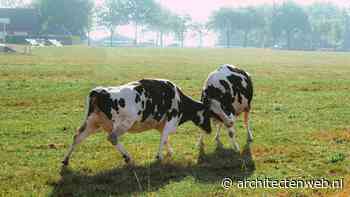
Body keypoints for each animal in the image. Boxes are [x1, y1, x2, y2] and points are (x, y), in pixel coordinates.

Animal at [61, 77, 212, 165]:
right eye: (208, 114)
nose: (210, 130)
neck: (179, 99)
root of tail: (100, 91)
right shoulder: (170, 121)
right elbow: (164, 137)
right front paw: (159, 156)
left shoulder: (160, 124)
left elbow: (165, 139)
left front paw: (170, 152)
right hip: (123, 124)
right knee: (112, 137)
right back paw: (127, 157)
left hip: (92, 122)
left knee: (77, 136)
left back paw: (65, 160)